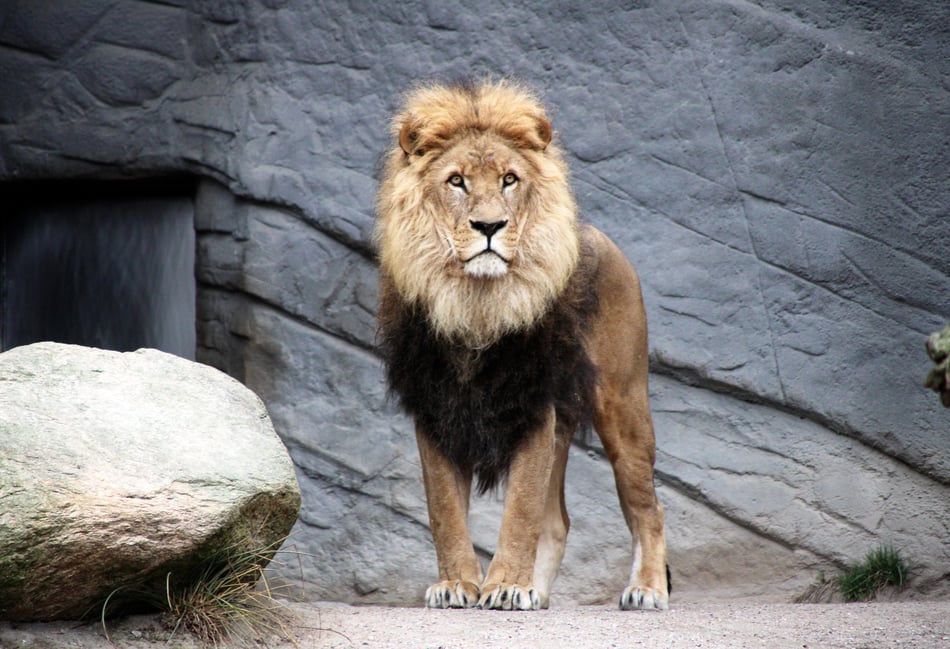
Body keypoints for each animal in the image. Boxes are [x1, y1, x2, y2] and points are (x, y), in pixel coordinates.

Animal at [375, 80, 669, 611]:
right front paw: (457, 584)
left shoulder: (533, 403)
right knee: (559, 522)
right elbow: (445, 511)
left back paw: (646, 590)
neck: (476, 304)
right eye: (456, 182)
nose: (489, 226)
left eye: (509, 179)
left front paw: (508, 585)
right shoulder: (435, 407)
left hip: (623, 404)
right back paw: (541, 592)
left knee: (649, 508)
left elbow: (520, 512)